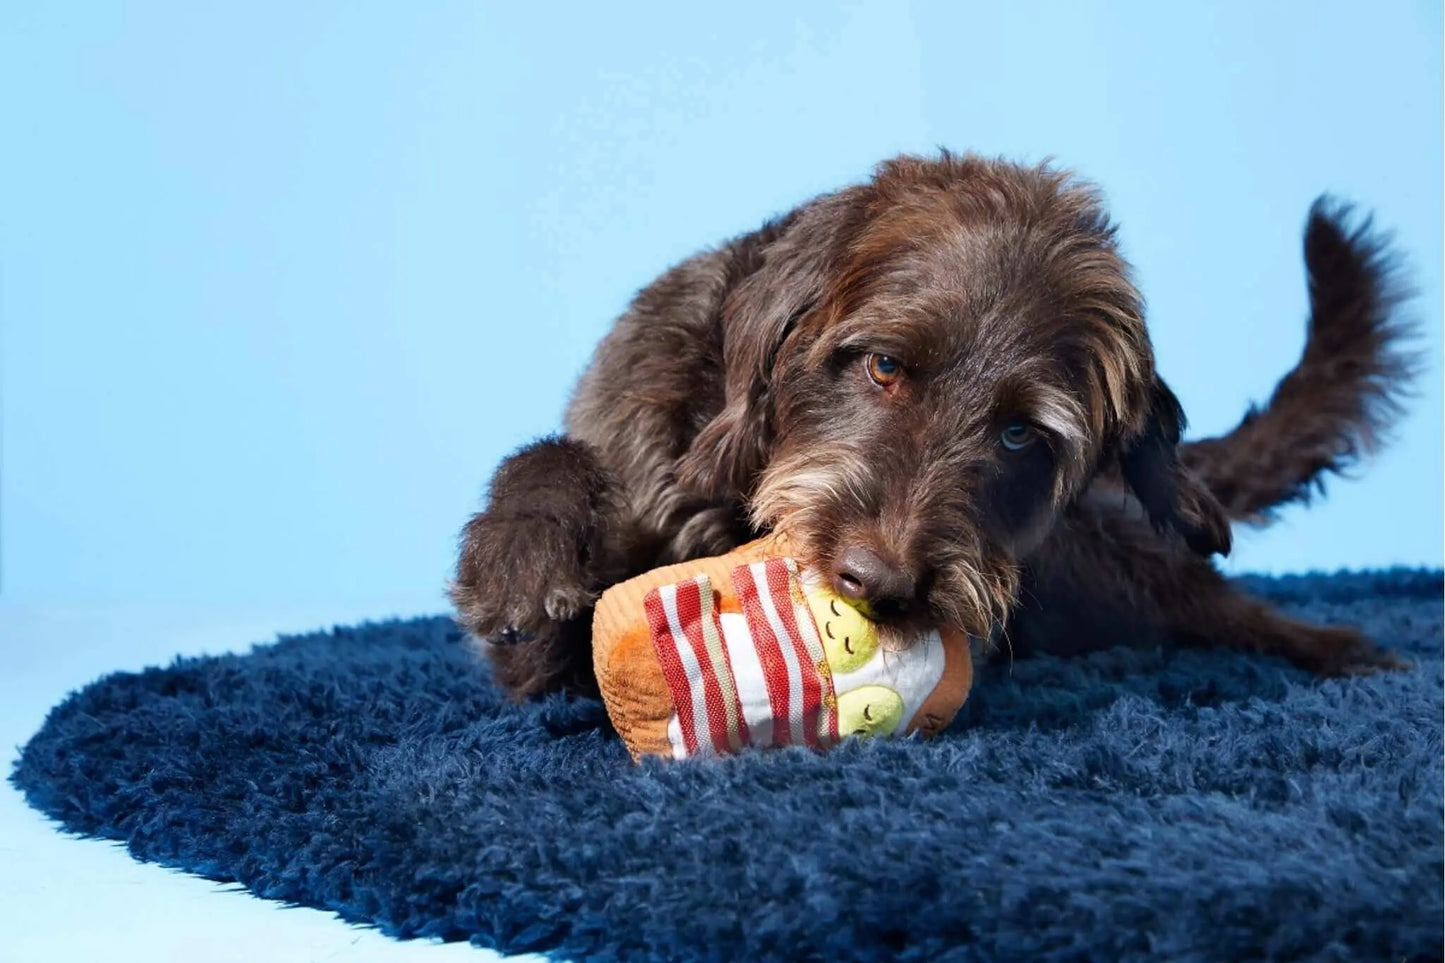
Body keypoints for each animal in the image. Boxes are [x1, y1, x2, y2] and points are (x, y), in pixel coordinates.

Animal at [447, 153, 1410, 702]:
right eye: (882, 365)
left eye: (1020, 435)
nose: (879, 582)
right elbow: (554, 466)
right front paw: (522, 549)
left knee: (1204, 601)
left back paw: (1337, 647)